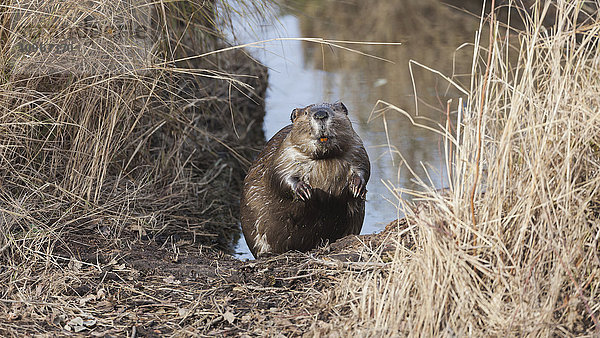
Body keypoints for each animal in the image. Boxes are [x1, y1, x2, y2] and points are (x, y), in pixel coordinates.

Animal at [240, 101, 370, 258]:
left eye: (334, 109)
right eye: (307, 112)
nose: (321, 114)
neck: (324, 159)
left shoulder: (356, 148)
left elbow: (364, 169)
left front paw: (357, 187)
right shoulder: (285, 152)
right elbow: (279, 175)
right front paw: (303, 191)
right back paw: (267, 254)